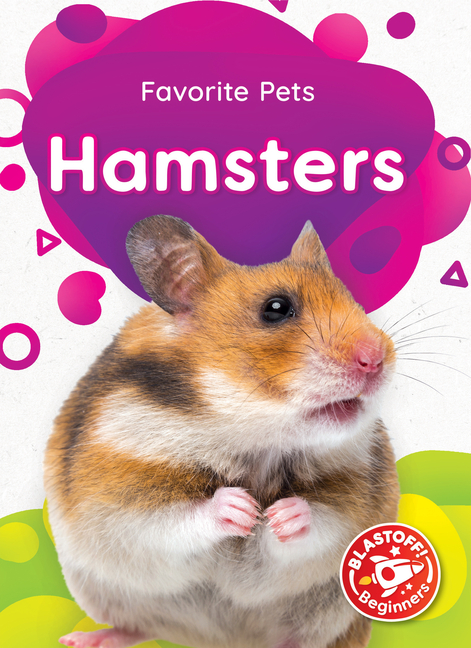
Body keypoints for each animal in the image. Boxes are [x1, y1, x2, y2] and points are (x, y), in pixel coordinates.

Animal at [44, 215, 399, 648]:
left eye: (350, 297)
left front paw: (280, 515)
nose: (377, 359)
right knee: (141, 626)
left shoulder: (356, 497)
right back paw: (83, 639)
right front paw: (241, 508)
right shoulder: (118, 495)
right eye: (276, 309)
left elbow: (322, 523)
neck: (254, 437)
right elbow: (171, 520)